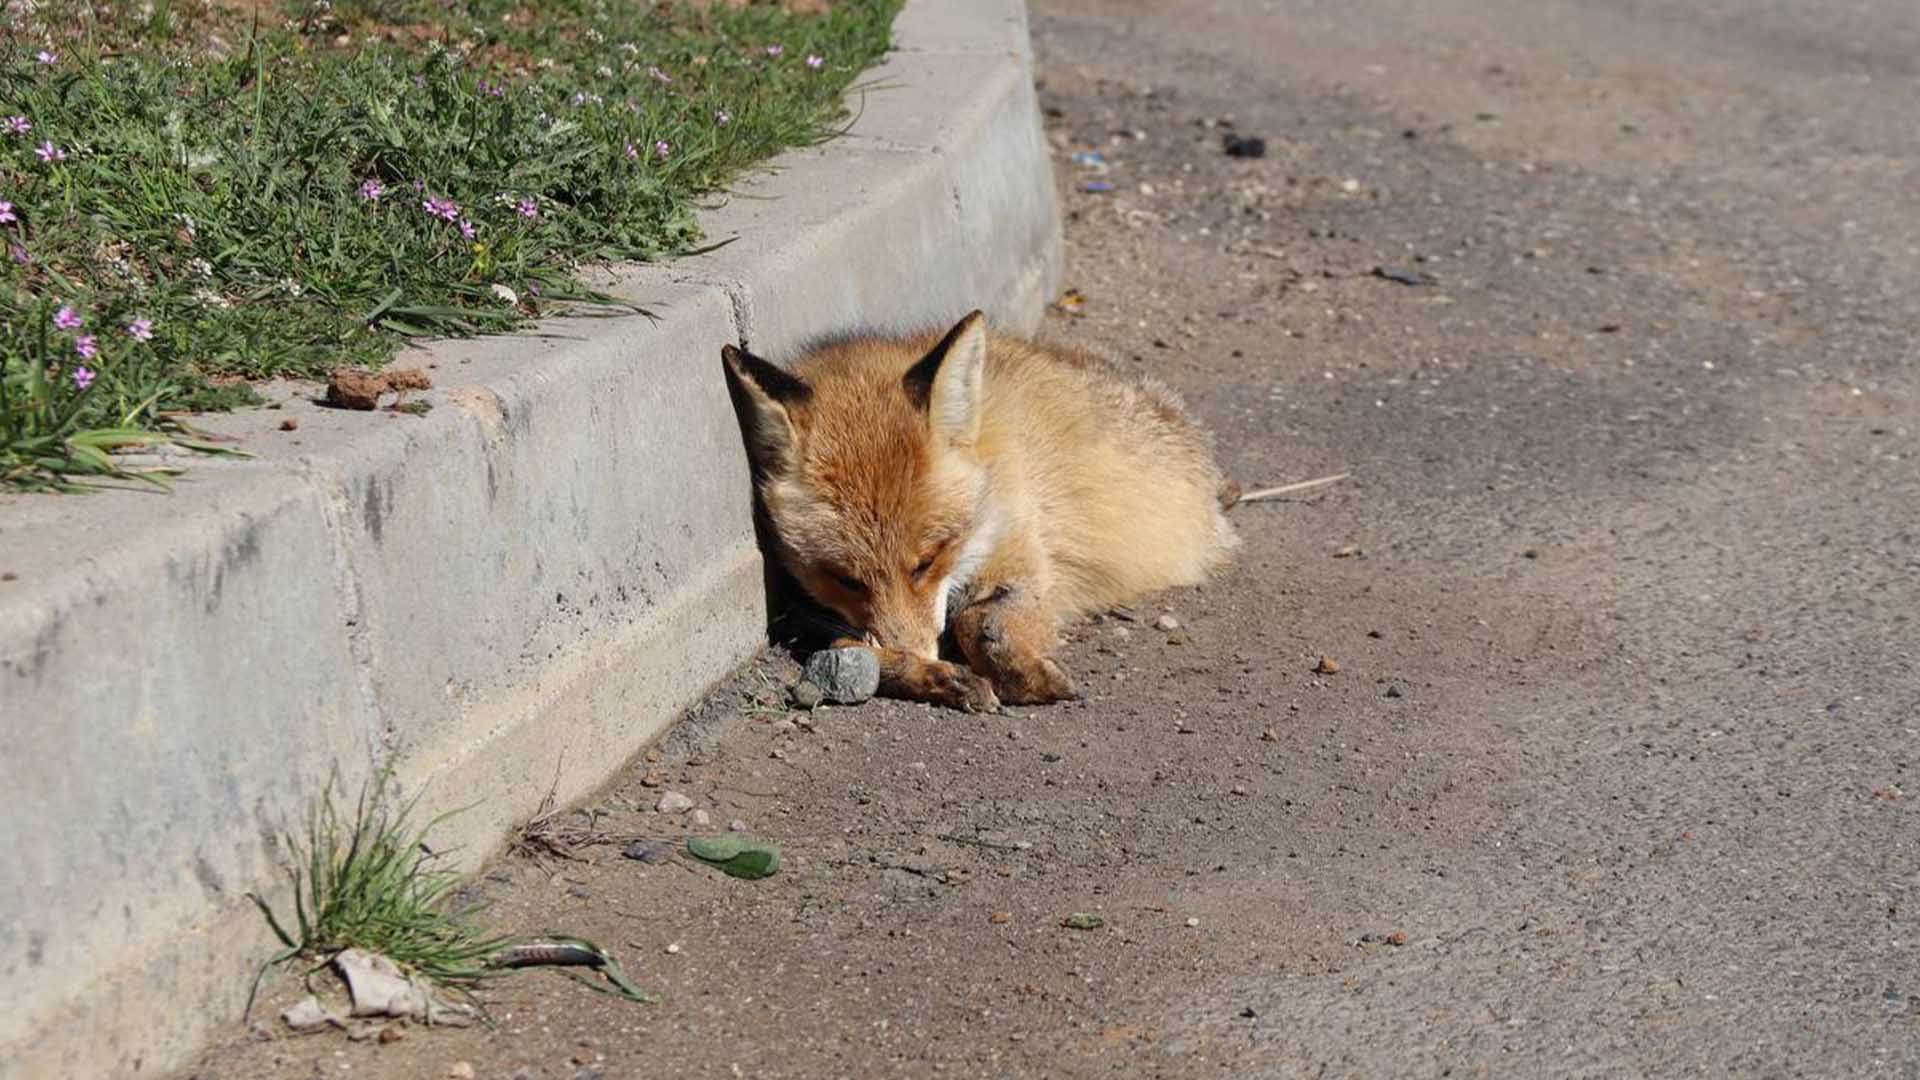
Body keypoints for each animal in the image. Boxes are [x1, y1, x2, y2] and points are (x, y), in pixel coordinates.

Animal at [721, 311, 1244, 711]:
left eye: (927, 561)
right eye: (844, 579)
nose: (920, 650)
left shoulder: (1022, 555)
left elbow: (980, 620)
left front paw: (1021, 671)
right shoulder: (805, 613)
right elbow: (853, 648)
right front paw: (931, 675)